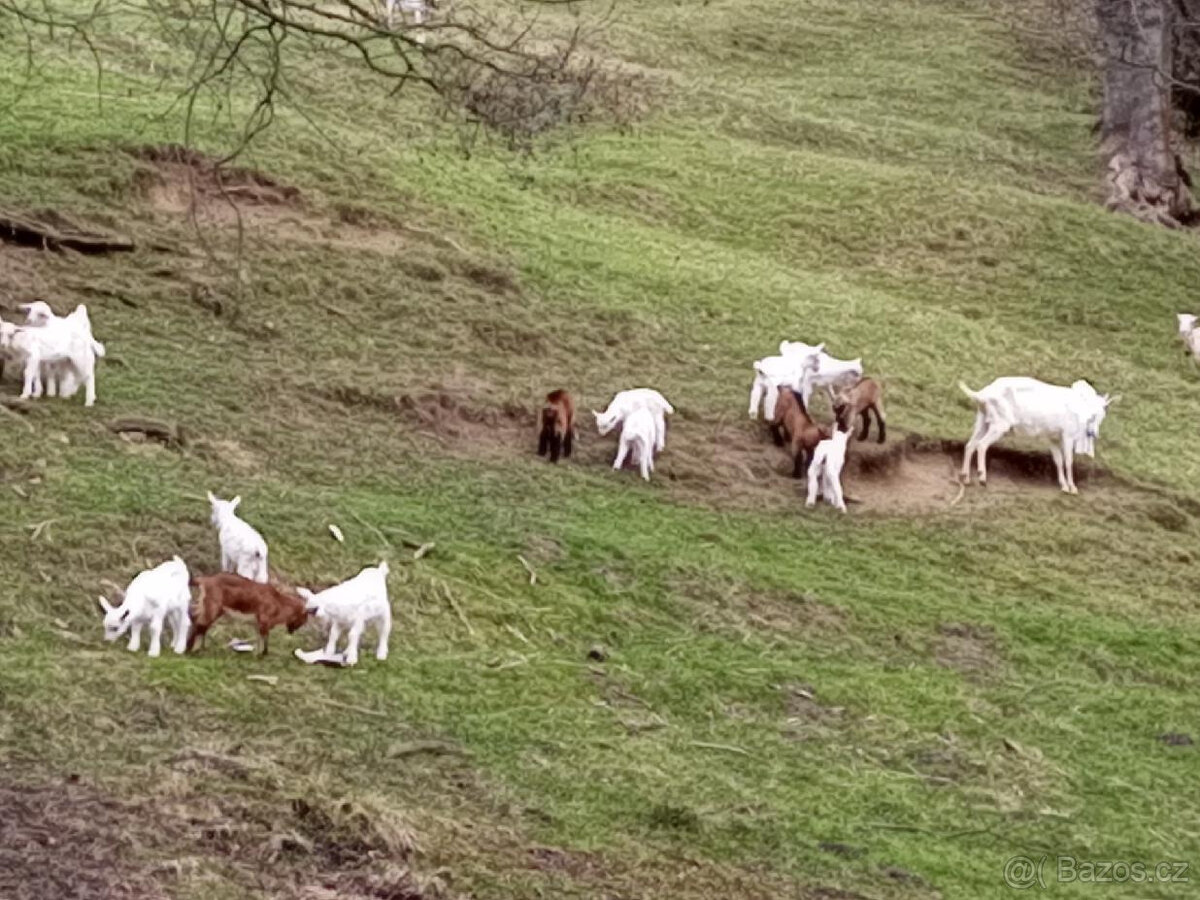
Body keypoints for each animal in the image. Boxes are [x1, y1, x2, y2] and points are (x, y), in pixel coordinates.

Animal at [955, 376, 1113, 496]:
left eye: (1103, 415)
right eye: (1093, 415)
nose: (1094, 433)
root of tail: (981, 394)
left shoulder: (1052, 438)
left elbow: (1058, 460)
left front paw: (1063, 486)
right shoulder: (1067, 435)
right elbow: (1068, 461)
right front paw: (1073, 488)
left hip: (983, 420)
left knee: (970, 444)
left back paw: (966, 478)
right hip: (1000, 424)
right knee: (981, 445)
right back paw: (982, 478)